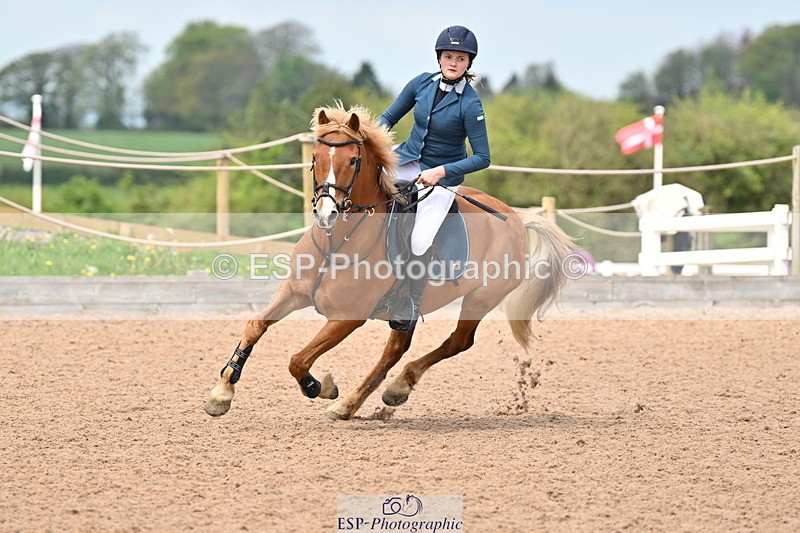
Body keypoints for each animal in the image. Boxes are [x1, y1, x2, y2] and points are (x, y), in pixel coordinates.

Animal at [204, 103, 573, 420]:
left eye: (354, 160)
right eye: (315, 157)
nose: (326, 213)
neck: (337, 243)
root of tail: (516, 218)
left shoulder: (346, 318)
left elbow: (298, 360)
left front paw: (320, 386)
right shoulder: (293, 293)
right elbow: (256, 325)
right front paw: (221, 394)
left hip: (480, 298)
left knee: (456, 342)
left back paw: (383, 392)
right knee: (397, 348)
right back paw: (361, 402)